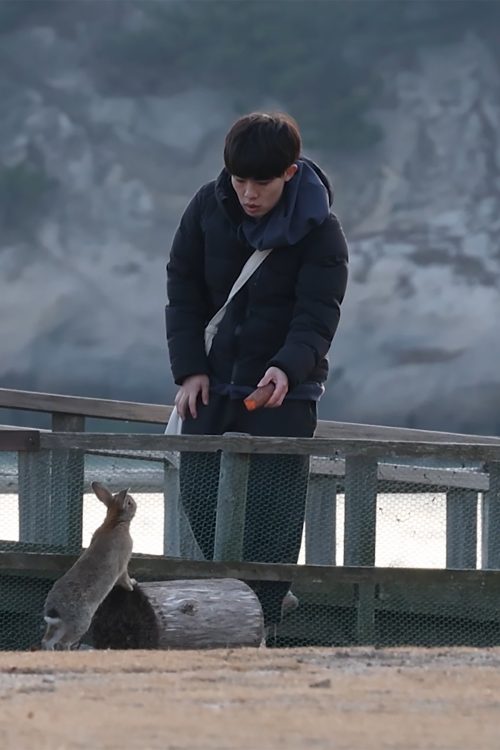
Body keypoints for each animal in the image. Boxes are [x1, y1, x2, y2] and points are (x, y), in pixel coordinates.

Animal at [40, 482, 137, 652]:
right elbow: (124, 578)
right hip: (81, 623)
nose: (136, 504)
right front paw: (133, 584)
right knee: (64, 643)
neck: (115, 522)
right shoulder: (123, 565)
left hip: (60, 626)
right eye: (129, 502)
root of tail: (56, 610)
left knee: (47, 641)